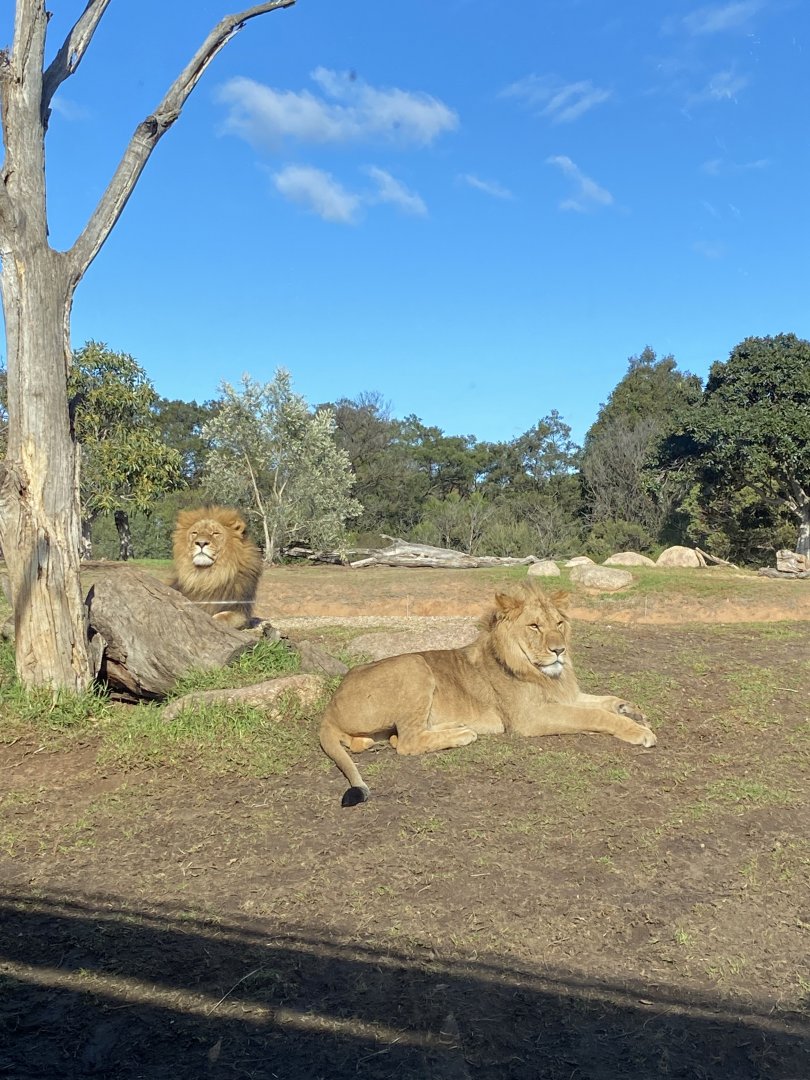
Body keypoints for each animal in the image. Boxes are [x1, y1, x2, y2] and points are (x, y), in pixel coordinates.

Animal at [319, 583, 657, 806]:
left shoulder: (565, 695)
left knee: (389, 738)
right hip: (414, 664)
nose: (559, 650)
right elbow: (595, 714)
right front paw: (639, 731)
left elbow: (605, 700)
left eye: (559, 623)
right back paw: (462, 735)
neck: (541, 672)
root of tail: (331, 705)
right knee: (406, 742)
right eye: (534, 626)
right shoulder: (529, 719)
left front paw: (632, 710)